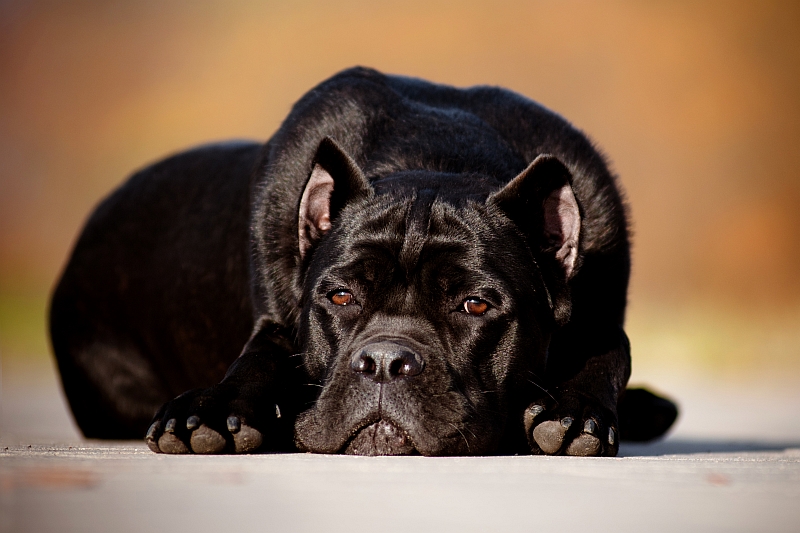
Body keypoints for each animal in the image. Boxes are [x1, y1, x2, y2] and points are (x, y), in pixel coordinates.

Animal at [50, 67, 676, 458]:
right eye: (340, 296)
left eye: (475, 304)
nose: (383, 362)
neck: (435, 154)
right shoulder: (278, 317)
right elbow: (262, 353)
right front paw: (208, 410)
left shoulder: (600, 312)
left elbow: (610, 351)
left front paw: (576, 411)